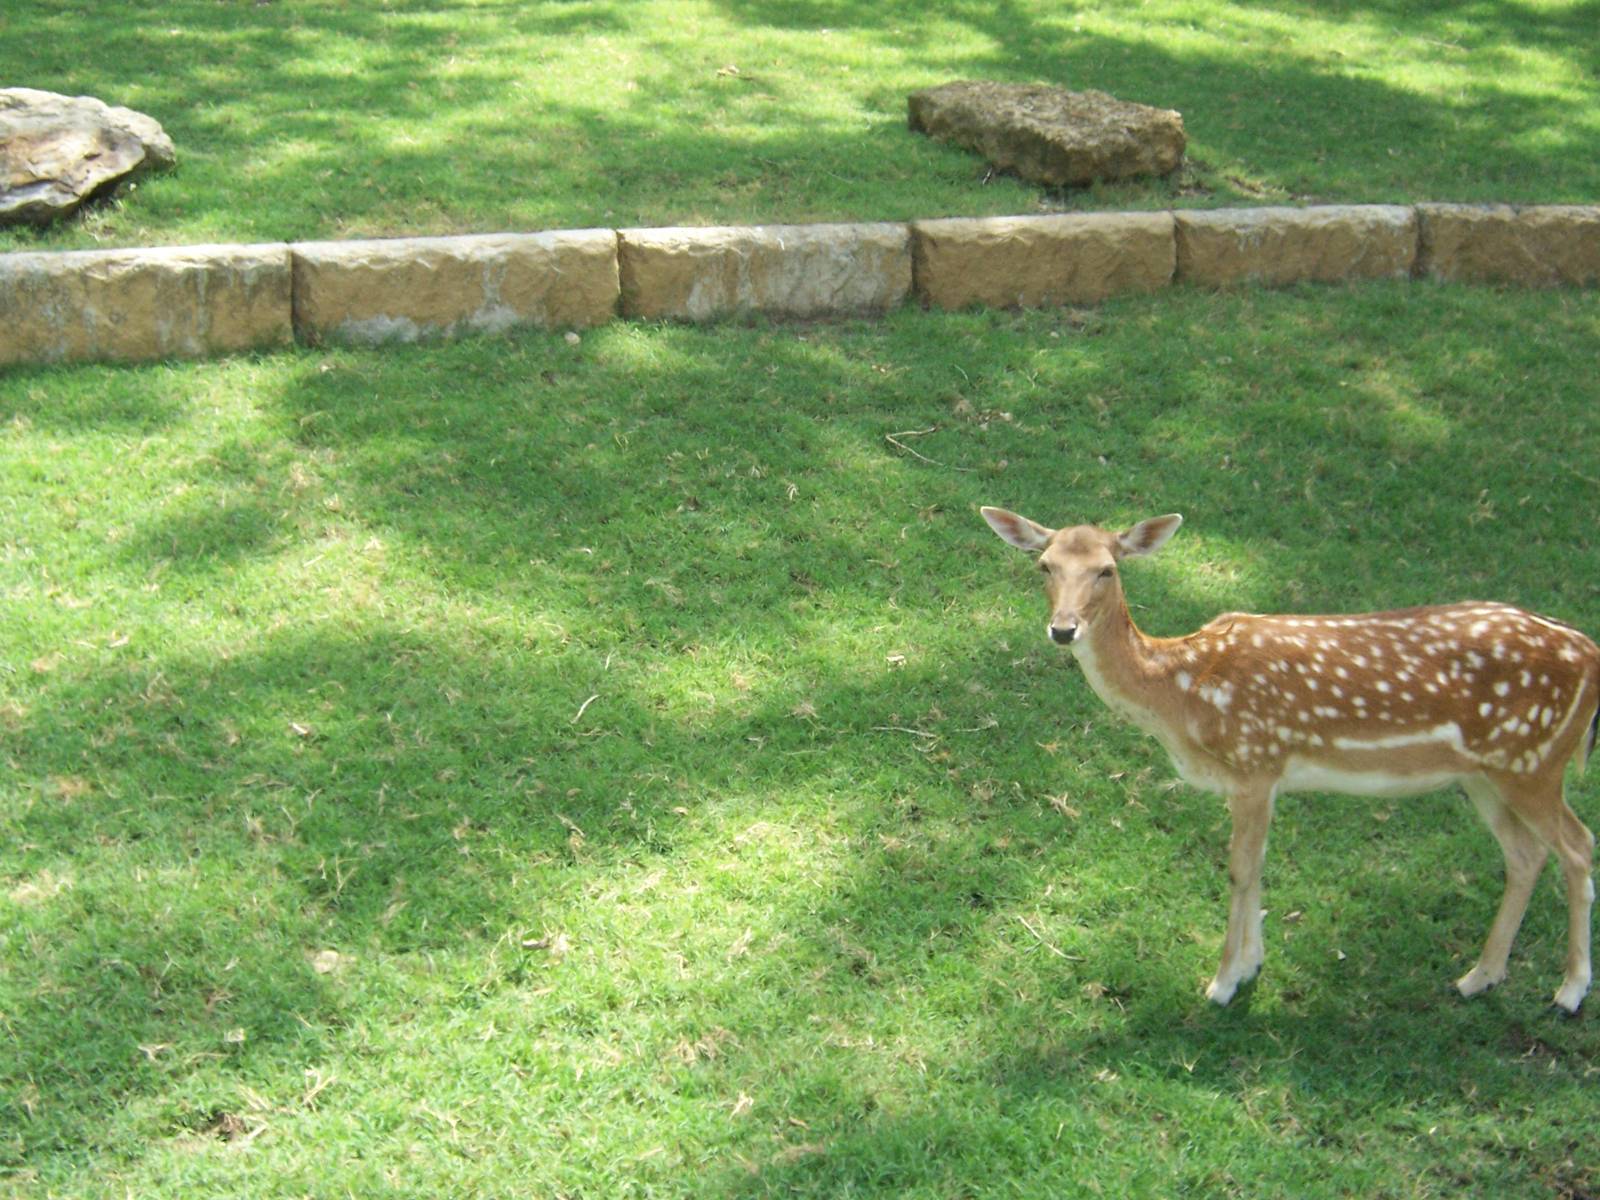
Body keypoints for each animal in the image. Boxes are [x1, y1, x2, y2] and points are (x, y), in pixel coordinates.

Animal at [981, 507, 1600, 1012]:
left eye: (1108, 569)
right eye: (1044, 565)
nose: (1064, 629)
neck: (1182, 696)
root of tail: (1591, 655)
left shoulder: (1256, 762)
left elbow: (1239, 868)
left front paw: (1223, 982)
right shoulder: (1264, 777)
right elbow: (1257, 868)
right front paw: (1252, 964)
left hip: (1535, 761)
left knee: (1577, 844)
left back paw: (1569, 990)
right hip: (1486, 774)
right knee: (1525, 854)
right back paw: (1479, 977)